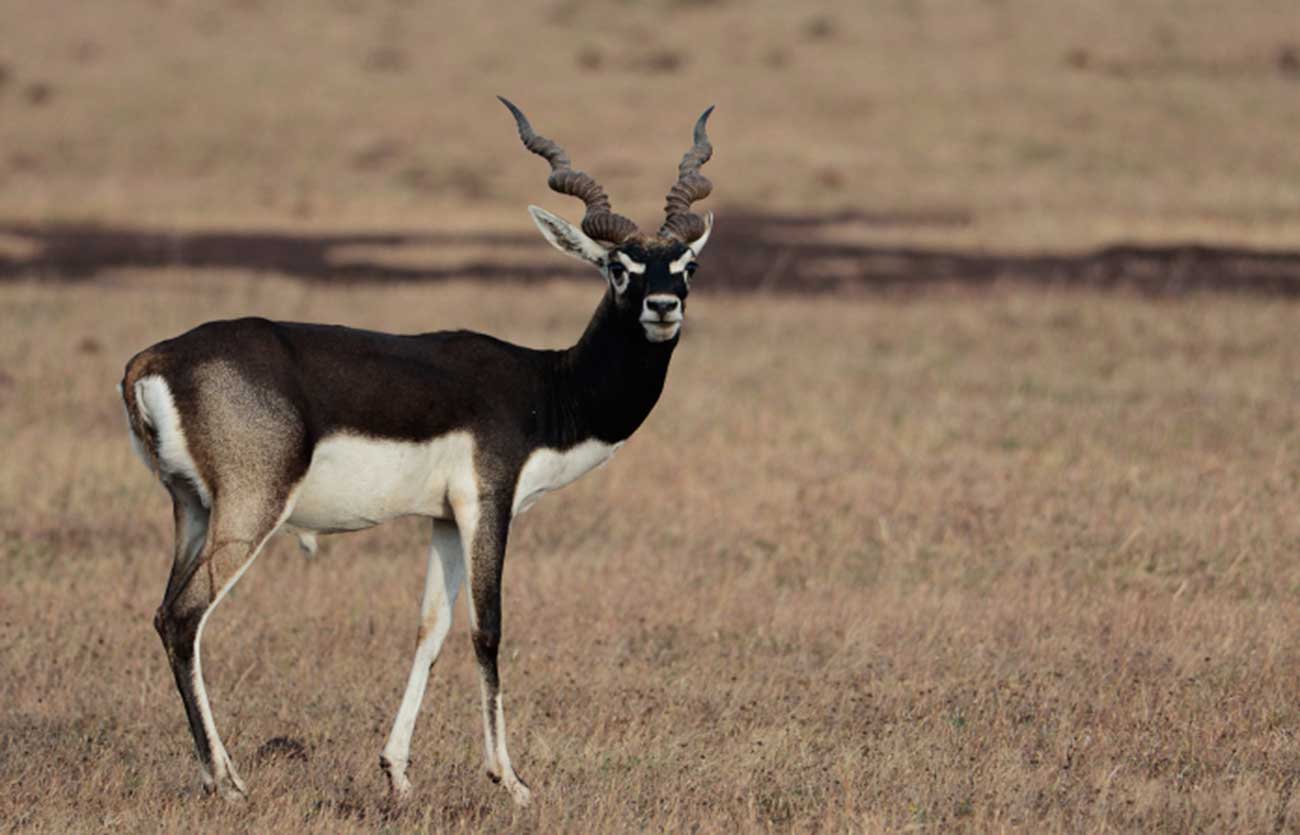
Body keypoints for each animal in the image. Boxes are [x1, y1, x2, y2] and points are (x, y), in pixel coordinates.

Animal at [118, 98, 717, 806]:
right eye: (618, 267)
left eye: (687, 266)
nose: (662, 307)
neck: (546, 388)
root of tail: (153, 360)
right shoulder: (489, 503)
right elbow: (487, 631)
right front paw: (511, 781)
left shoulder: (443, 520)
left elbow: (430, 630)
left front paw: (397, 772)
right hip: (251, 509)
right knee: (185, 618)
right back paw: (228, 782)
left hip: (191, 509)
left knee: (166, 613)